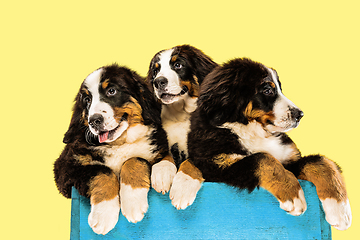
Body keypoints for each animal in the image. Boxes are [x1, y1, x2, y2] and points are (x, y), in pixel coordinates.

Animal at [53, 63, 172, 234]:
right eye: (87, 100)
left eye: (112, 91)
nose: (94, 120)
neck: (119, 143)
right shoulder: (65, 168)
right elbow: (102, 171)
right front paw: (104, 214)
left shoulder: (158, 145)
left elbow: (135, 159)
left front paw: (133, 200)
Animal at [147, 45, 219, 195]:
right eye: (156, 71)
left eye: (178, 65)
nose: (158, 82)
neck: (181, 114)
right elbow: (165, 155)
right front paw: (162, 173)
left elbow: (190, 162)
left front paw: (182, 188)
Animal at [171, 57, 352, 231]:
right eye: (267, 90)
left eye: (280, 89)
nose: (300, 114)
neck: (254, 131)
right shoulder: (218, 164)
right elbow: (263, 158)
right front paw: (293, 195)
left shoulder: (289, 160)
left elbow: (321, 162)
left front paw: (340, 209)